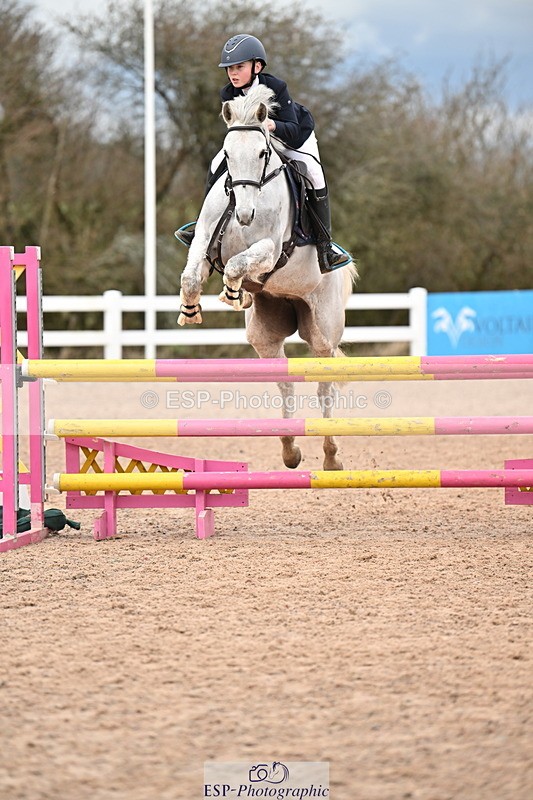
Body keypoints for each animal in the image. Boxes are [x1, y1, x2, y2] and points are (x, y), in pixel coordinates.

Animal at [178, 84, 358, 470]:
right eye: (227, 155)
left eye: (262, 153)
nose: (245, 215)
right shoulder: (204, 241)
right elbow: (191, 276)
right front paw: (190, 310)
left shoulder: (271, 250)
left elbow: (237, 265)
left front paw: (232, 292)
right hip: (265, 334)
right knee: (284, 381)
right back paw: (290, 450)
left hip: (323, 334)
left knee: (324, 387)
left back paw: (331, 456)